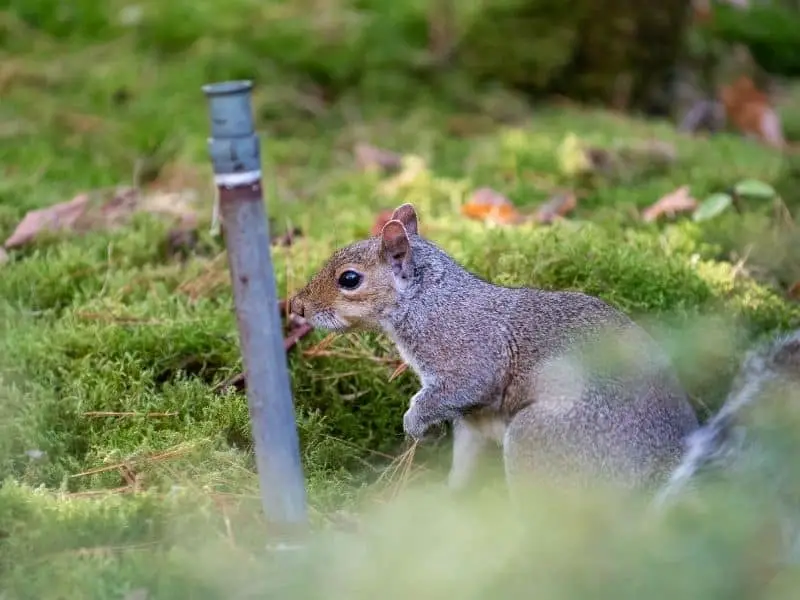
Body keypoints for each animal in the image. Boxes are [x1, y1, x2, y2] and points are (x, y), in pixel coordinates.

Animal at [290, 204, 800, 500]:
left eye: (349, 279)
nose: (296, 306)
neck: (427, 300)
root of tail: (661, 473)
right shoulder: (472, 424)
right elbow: (464, 460)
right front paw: (448, 500)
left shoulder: (467, 353)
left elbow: (461, 385)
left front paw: (414, 422)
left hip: (539, 440)